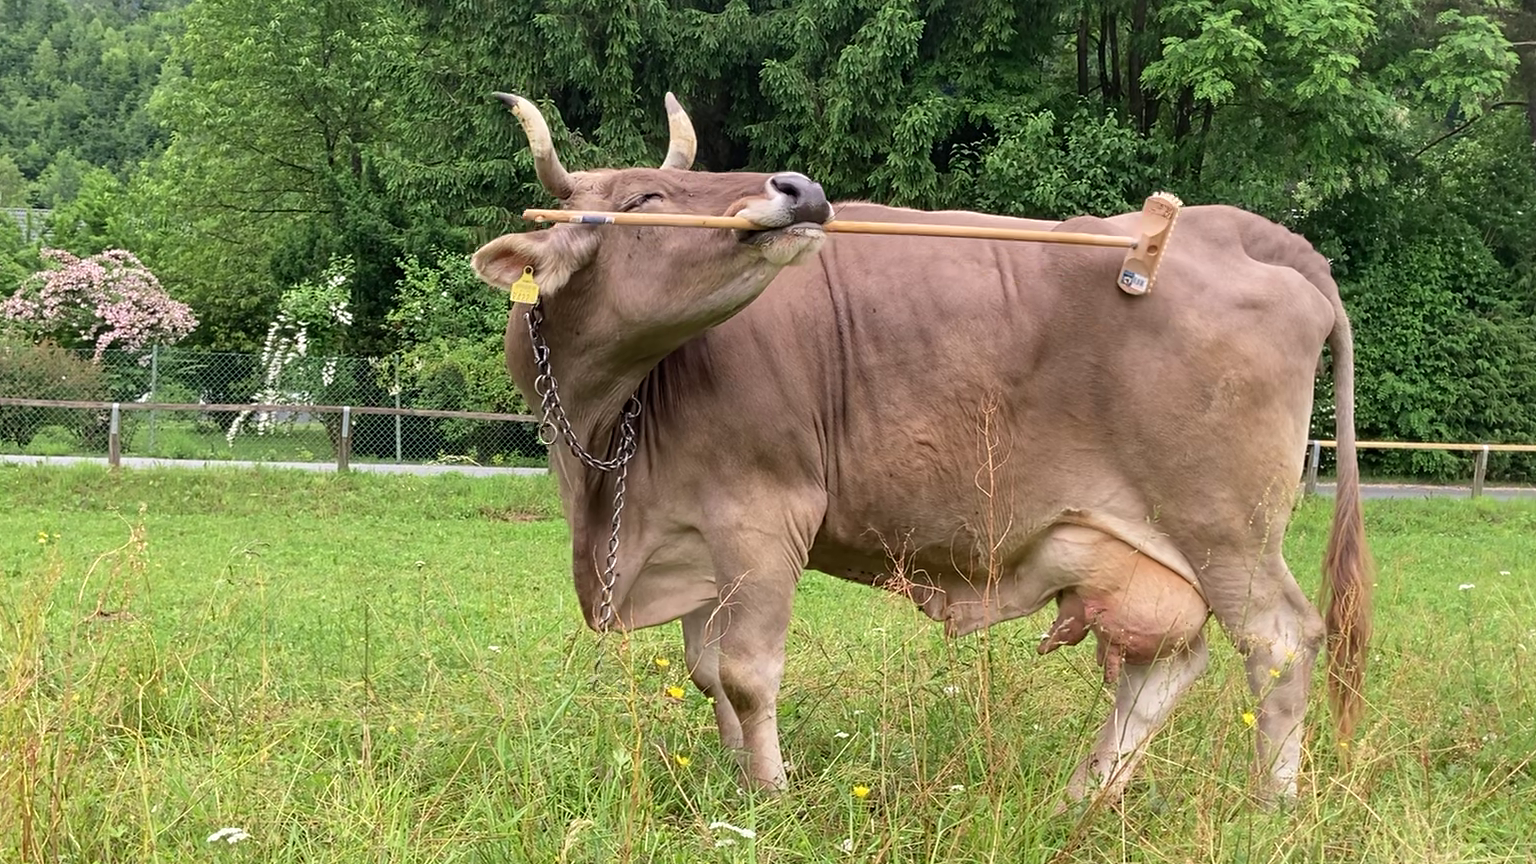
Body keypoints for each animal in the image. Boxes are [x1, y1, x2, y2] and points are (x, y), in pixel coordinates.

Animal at [471, 91, 1372, 805]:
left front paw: (768, 794)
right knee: (1173, 663)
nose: (800, 188)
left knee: (1281, 643)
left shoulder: (762, 515)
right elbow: (704, 669)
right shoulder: (691, 532)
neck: (604, 440)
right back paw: (1082, 796)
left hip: (1227, 530)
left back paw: (1270, 806)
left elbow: (747, 673)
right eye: (648, 196)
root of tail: (1244, 232)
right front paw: (729, 777)